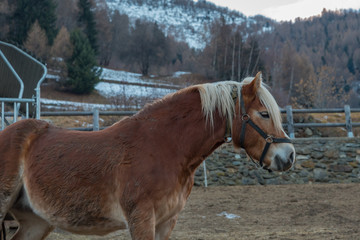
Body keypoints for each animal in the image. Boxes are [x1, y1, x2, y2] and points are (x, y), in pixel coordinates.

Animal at [0, 71, 294, 240]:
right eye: (264, 114)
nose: (289, 155)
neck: (164, 147)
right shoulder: (141, 219)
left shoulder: (166, 222)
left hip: (36, 222)